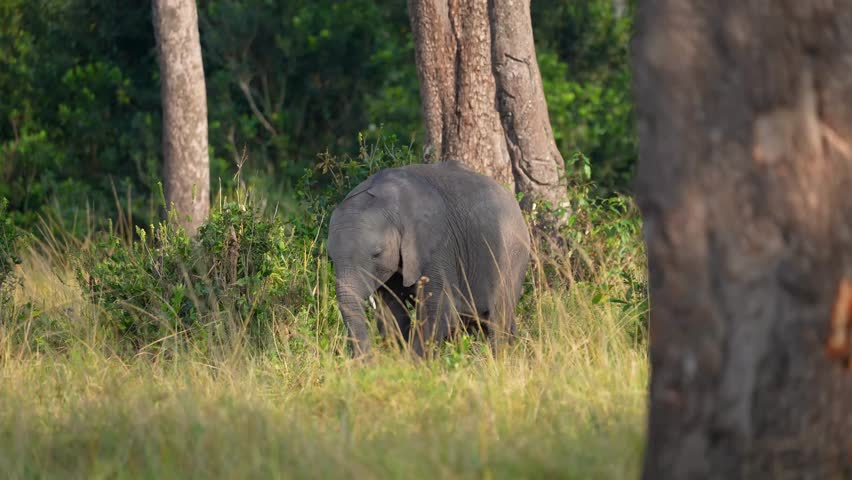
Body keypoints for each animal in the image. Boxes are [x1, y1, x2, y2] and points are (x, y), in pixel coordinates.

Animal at [327, 160, 531, 358]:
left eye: (376, 254)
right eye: (332, 258)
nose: (368, 360)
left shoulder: (438, 245)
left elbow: (438, 310)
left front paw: (412, 363)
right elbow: (392, 311)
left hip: (512, 255)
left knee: (498, 317)